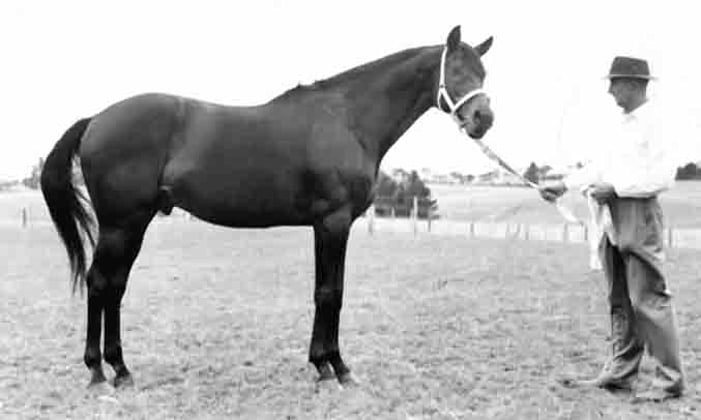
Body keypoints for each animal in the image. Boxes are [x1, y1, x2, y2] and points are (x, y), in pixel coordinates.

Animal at [40, 25, 494, 388]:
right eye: (456, 71)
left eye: (483, 73)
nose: (483, 119)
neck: (346, 118)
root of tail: (96, 119)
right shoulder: (334, 222)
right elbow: (331, 292)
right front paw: (336, 368)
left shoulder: (328, 224)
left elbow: (328, 290)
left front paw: (323, 364)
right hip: (121, 223)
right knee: (100, 283)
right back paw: (100, 371)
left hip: (133, 223)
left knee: (114, 286)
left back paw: (118, 369)